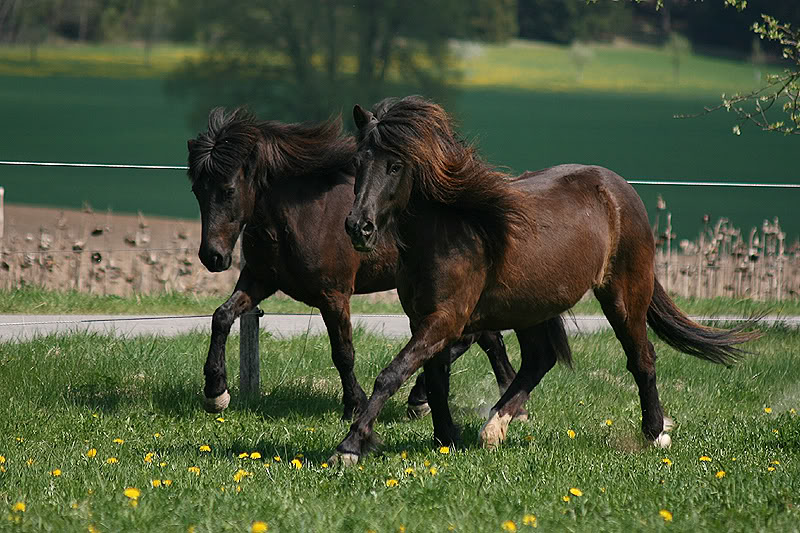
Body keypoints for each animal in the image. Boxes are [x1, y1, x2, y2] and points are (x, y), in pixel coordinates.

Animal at [187, 107, 524, 420]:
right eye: (196, 190)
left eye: (228, 190)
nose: (212, 256)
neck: (301, 216)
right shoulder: (260, 279)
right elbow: (221, 316)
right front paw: (216, 392)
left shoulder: (333, 295)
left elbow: (343, 352)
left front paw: (354, 405)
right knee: (484, 337)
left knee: (469, 336)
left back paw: (426, 398)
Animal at [332, 97, 764, 464]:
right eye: (359, 161)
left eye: (395, 165)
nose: (358, 227)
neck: (450, 232)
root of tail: (621, 189)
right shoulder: (424, 319)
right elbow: (436, 379)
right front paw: (445, 438)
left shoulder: (447, 319)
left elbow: (392, 374)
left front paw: (349, 447)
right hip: (531, 308)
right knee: (540, 359)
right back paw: (495, 427)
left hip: (623, 295)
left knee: (641, 357)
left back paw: (655, 432)